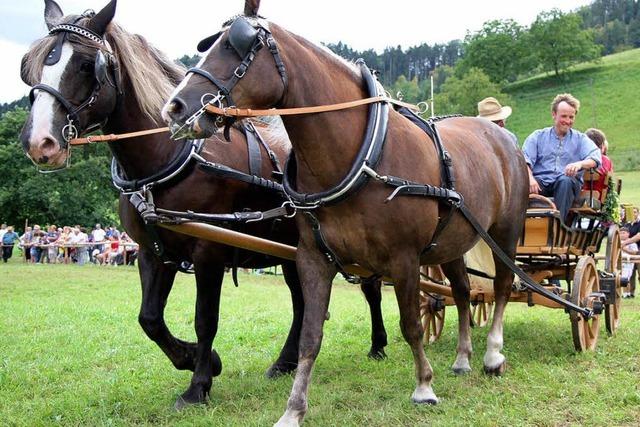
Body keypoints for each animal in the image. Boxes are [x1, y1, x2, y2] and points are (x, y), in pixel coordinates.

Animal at [20, 0, 388, 412]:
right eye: (31, 66)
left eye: (87, 65)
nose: (40, 142)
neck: (165, 159)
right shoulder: (153, 250)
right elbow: (149, 318)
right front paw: (200, 358)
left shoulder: (208, 250)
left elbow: (205, 319)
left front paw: (198, 385)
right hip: (294, 250)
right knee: (301, 303)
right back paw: (285, 363)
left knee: (370, 289)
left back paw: (377, 345)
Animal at [166, 1, 528, 426]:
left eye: (234, 47)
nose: (174, 107)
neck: (361, 154)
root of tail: (500, 135)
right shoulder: (313, 258)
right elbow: (310, 335)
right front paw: (293, 408)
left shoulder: (404, 258)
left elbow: (410, 325)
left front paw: (423, 386)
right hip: (452, 242)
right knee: (463, 291)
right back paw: (462, 358)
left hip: (505, 232)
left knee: (502, 287)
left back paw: (492, 354)